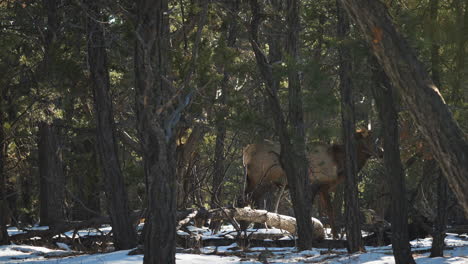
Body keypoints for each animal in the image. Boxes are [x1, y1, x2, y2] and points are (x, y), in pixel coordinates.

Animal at [243, 129, 382, 238]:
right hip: (261, 180)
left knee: (250, 199)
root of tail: (246, 151)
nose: (381, 152)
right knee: (251, 198)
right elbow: (327, 210)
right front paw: (334, 235)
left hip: (256, 181)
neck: (338, 165)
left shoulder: (320, 189)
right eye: (369, 140)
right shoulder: (319, 185)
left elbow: (322, 211)